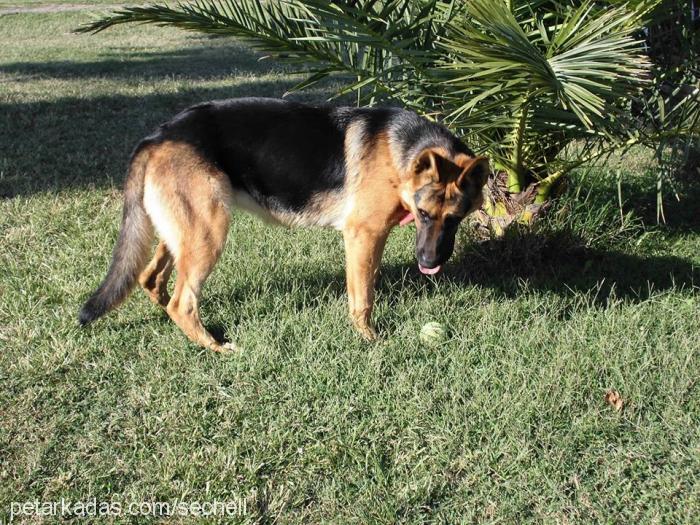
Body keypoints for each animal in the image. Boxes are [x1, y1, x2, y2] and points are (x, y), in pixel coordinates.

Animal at [79, 98, 486, 352]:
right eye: (424, 214)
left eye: (456, 219)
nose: (430, 263)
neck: (403, 152)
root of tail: (158, 135)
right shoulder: (363, 235)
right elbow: (362, 297)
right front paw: (370, 339)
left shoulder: (375, 237)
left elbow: (366, 284)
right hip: (209, 232)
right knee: (183, 302)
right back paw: (214, 346)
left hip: (183, 231)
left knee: (153, 279)